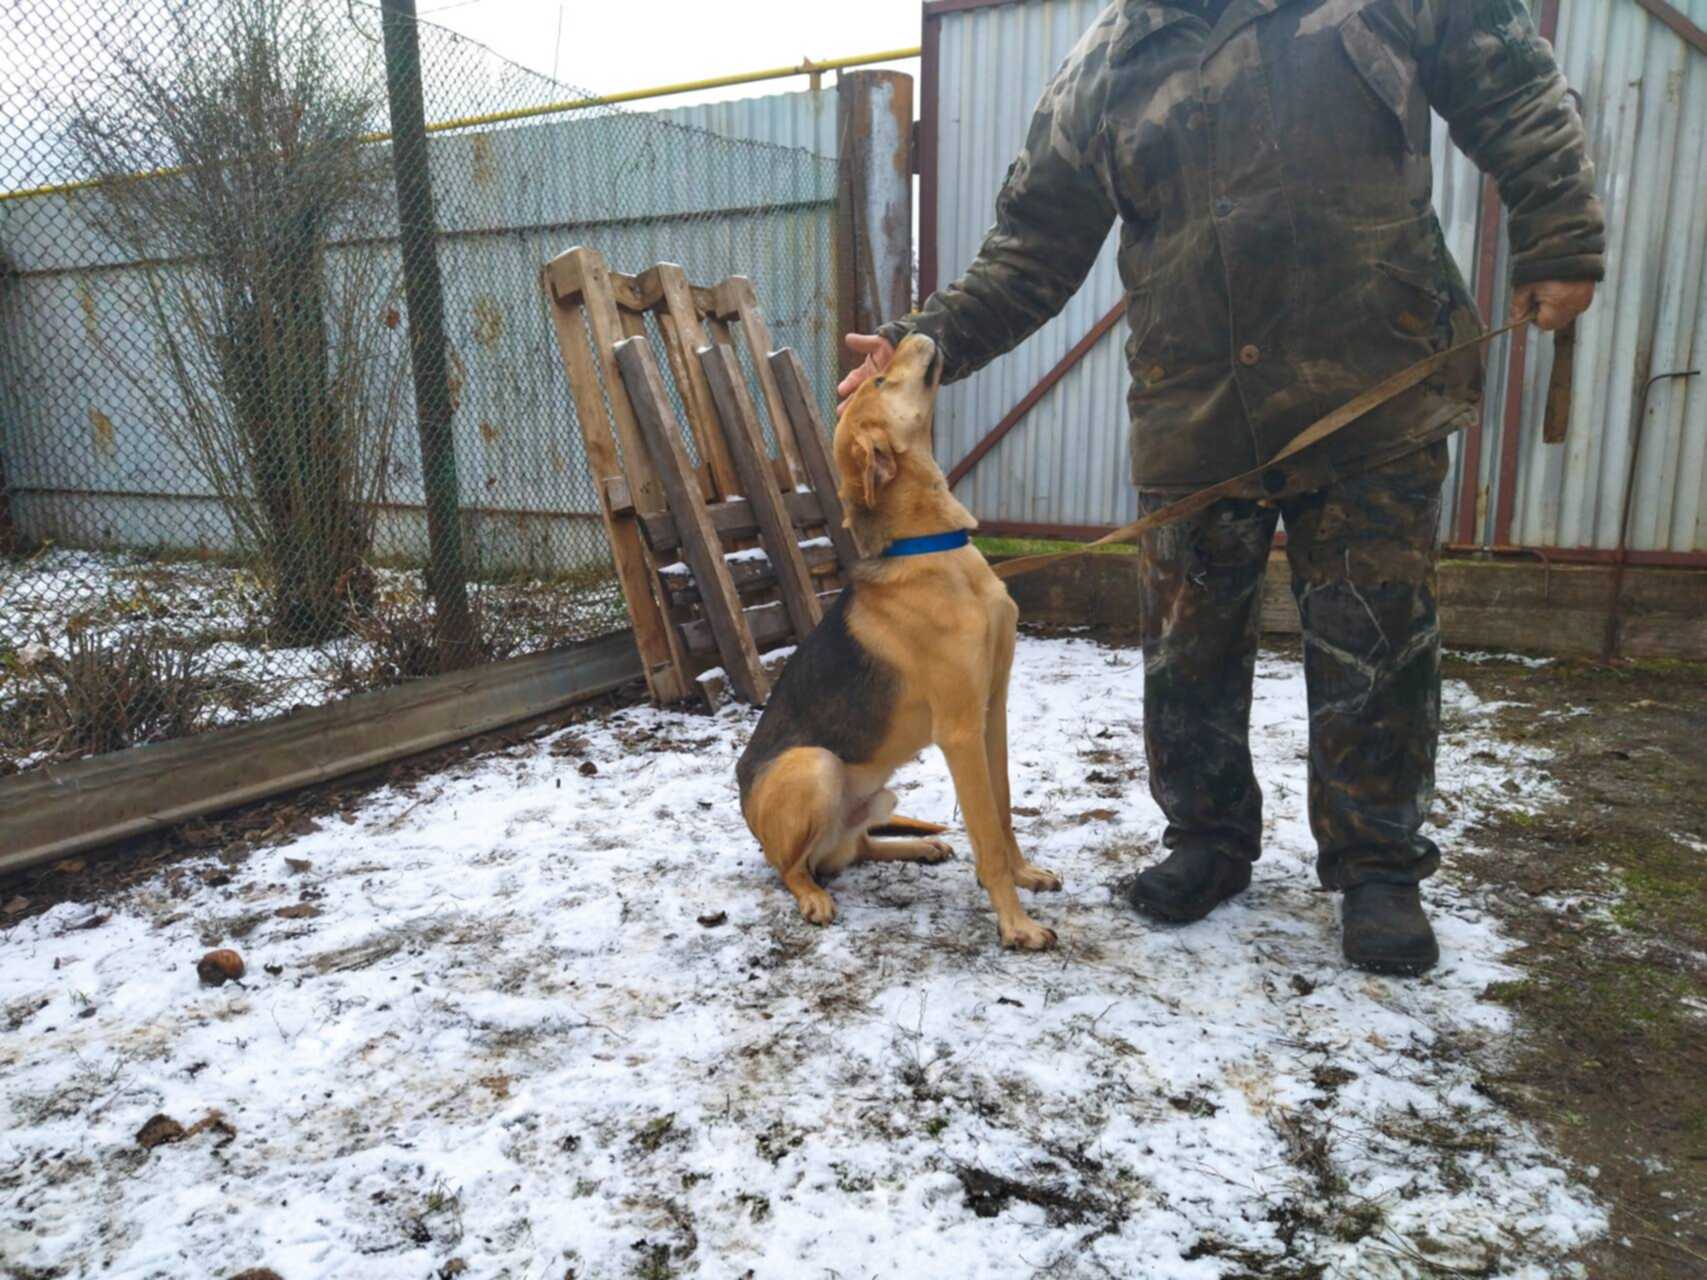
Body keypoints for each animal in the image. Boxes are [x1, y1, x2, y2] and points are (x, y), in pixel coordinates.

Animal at [737, 332, 1058, 955]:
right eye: (882, 383)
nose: (910, 333)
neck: (933, 548)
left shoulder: (992, 712)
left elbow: (1003, 811)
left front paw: (1024, 874)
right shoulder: (960, 731)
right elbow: (986, 831)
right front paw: (1015, 924)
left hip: (880, 796)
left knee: (853, 849)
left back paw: (918, 846)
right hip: (815, 767)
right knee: (793, 869)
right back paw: (813, 897)